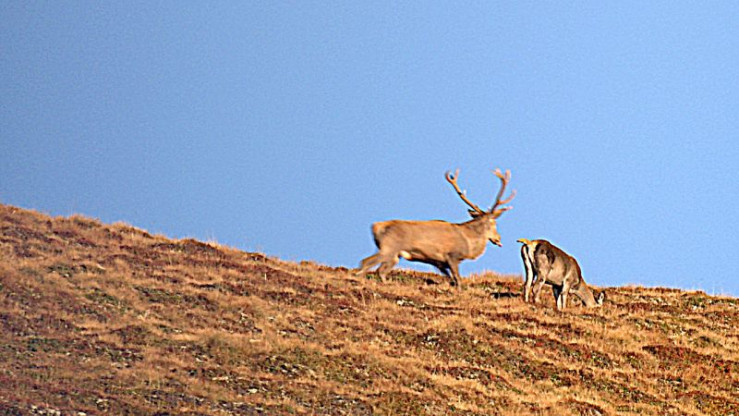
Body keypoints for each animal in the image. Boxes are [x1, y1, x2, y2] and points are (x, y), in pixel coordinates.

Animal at [355, 168, 515, 286]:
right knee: (367, 264)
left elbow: (451, 278)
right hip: (389, 247)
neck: (469, 243)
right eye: (494, 223)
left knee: (380, 270)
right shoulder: (452, 256)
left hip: (395, 255)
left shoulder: (439, 262)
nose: (498, 238)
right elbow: (458, 280)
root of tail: (376, 227)